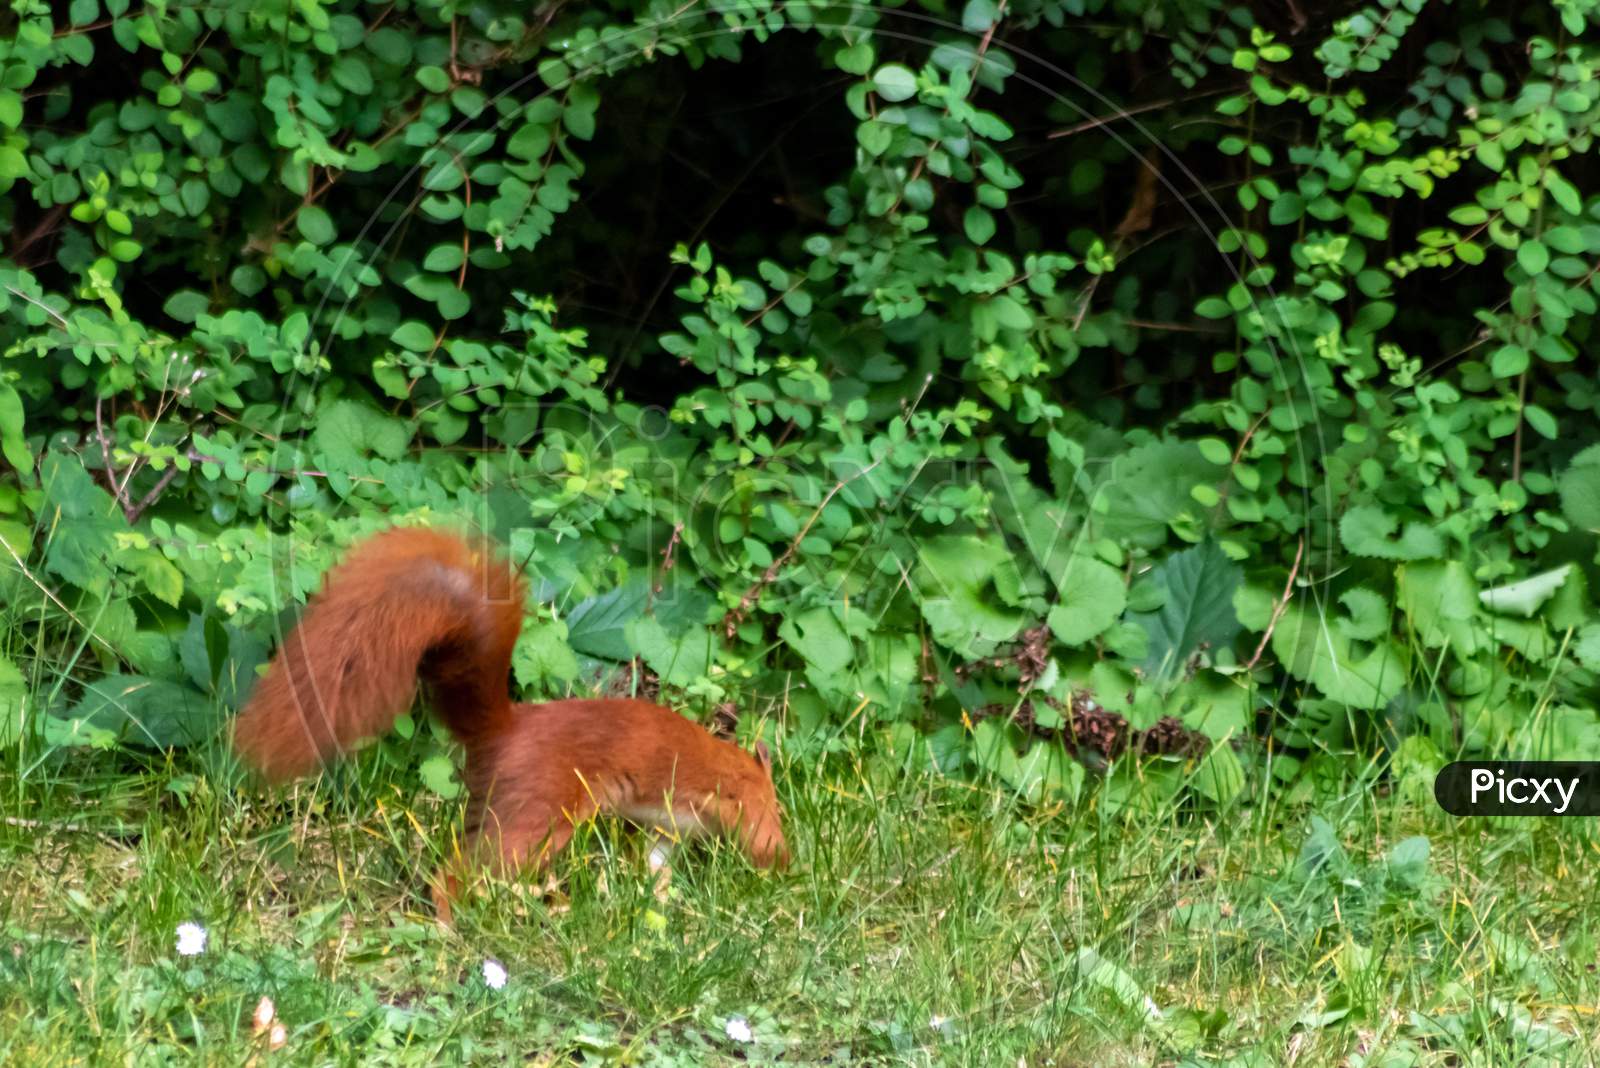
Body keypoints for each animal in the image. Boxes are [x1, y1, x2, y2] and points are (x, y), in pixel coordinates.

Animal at [232, 524, 787, 920]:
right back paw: (453, 920)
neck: (741, 765)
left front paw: (663, 902)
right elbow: (753, 833)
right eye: (777, 809)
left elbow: (656, 862)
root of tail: (505, 730)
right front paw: (778, 867)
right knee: (465, 870)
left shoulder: (668, 828)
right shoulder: (740, 800)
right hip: (540, 813)